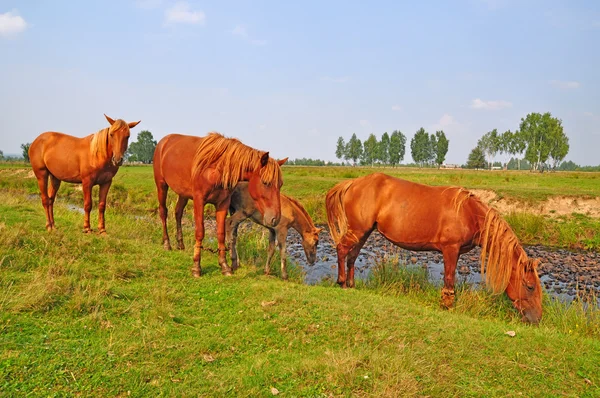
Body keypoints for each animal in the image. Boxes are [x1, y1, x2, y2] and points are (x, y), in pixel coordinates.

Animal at [154, 133, 288, 276]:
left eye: (280, 184)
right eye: (265, 182)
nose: (275, 218)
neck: (216, 168)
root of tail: (164, 141)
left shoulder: (223, 203)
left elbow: (221, 233)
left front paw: (225, 266)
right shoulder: (199, 201)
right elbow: (200, 232)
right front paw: (196, 267)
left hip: (183, 193)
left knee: (178, 212)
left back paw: (180, 244)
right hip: (161, 185)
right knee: (163, 212)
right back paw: (167, 244)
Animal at [328, 173, 544, 324]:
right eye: (530, 286)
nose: (537, 318)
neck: (468, 212)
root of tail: (351, 184)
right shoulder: (450, 250)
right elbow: (449, 279)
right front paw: (447, 306)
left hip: (363, 232)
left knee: (352, 256)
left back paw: (351, 285)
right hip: (357, 230)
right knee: (341, 249)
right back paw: (341, 282)